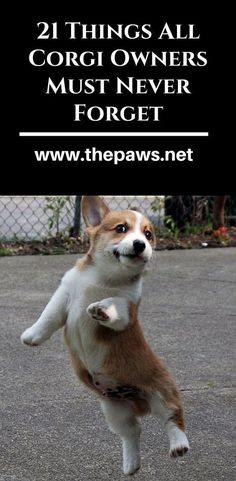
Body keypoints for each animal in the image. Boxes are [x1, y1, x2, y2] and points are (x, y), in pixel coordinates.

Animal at [20, 196, 190, 476]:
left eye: (148, 234)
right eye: (121, 228)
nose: (140, 244)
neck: (106, 278)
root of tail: (139, 402)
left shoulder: (126, 311)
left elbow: (114, 304)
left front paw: (100, 308)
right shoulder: (64, 294)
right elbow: (49, 315)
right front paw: (32, 336)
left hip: (163, 391)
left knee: (173, 418)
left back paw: (179, 445)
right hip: (114, 410)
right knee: (132, 431)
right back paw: (131, 465)